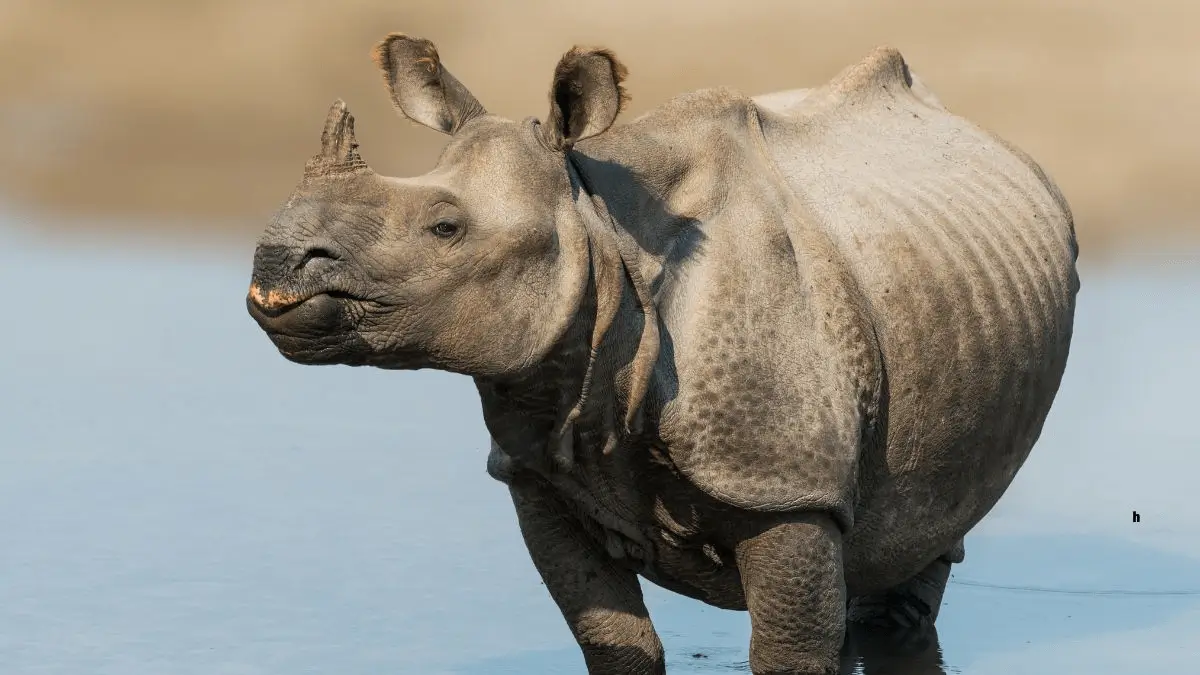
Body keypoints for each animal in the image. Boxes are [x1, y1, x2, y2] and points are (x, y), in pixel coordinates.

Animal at [246, 33, 1079, 675]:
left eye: (445, 228)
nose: (274, 260)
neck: (598, 226)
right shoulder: (538, 470)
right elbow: (615, 642)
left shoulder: (788, 479)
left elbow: (788, 651)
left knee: (913, 557)